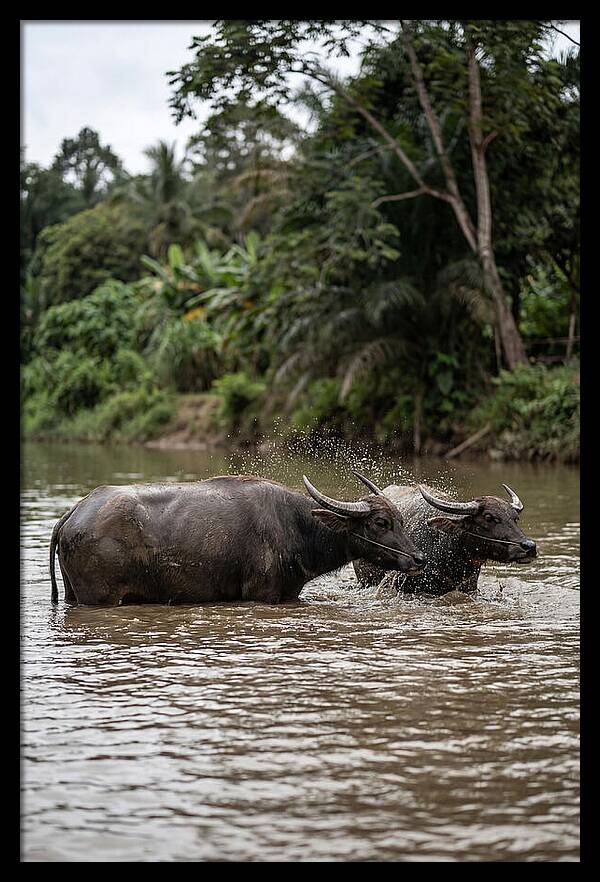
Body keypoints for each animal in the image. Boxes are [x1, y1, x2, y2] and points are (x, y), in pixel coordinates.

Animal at [50, 472, 426, 606]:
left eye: (401, 520)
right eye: (381, 522)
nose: (418, 558)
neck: (295, 526)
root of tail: (74, 512)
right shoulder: (262, 594)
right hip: (101, 598)